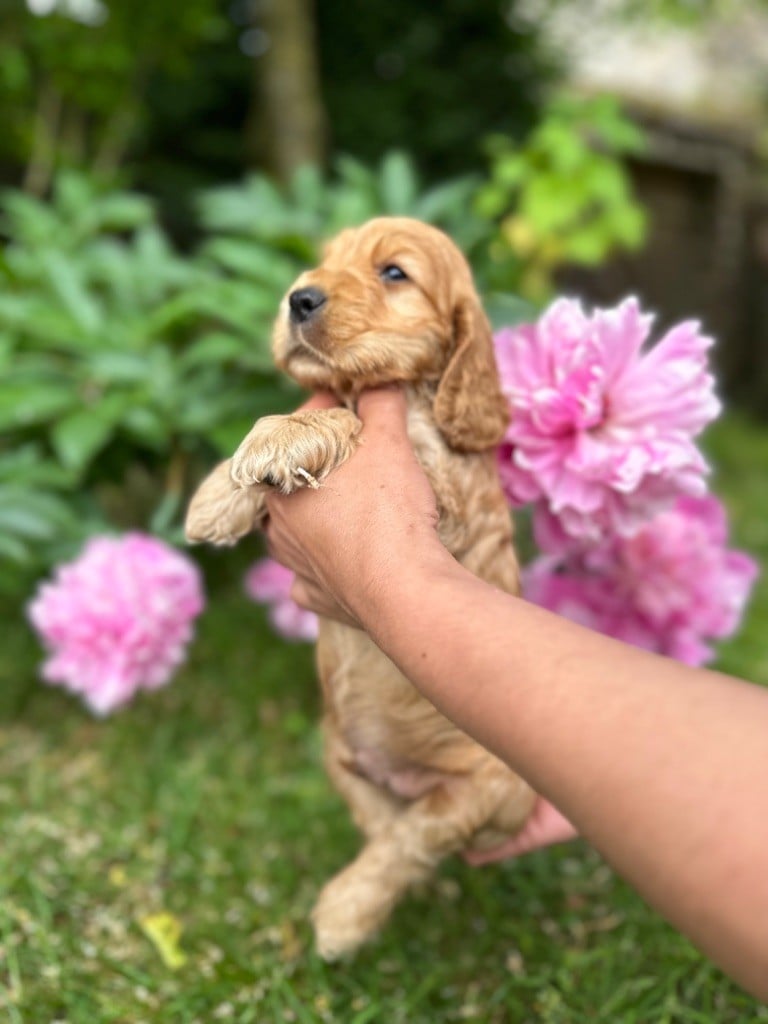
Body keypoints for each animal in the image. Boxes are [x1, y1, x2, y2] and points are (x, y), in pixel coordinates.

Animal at [185, 218, 536, 958]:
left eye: (394, 272)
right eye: (323, 262)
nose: (299, 298)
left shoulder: (447, 505)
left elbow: (351, 423)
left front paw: (285, 440)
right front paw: (216, 496)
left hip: (492, 790)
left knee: (416, 836)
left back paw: (345, 916)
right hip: (337, 752)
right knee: (387, 828)